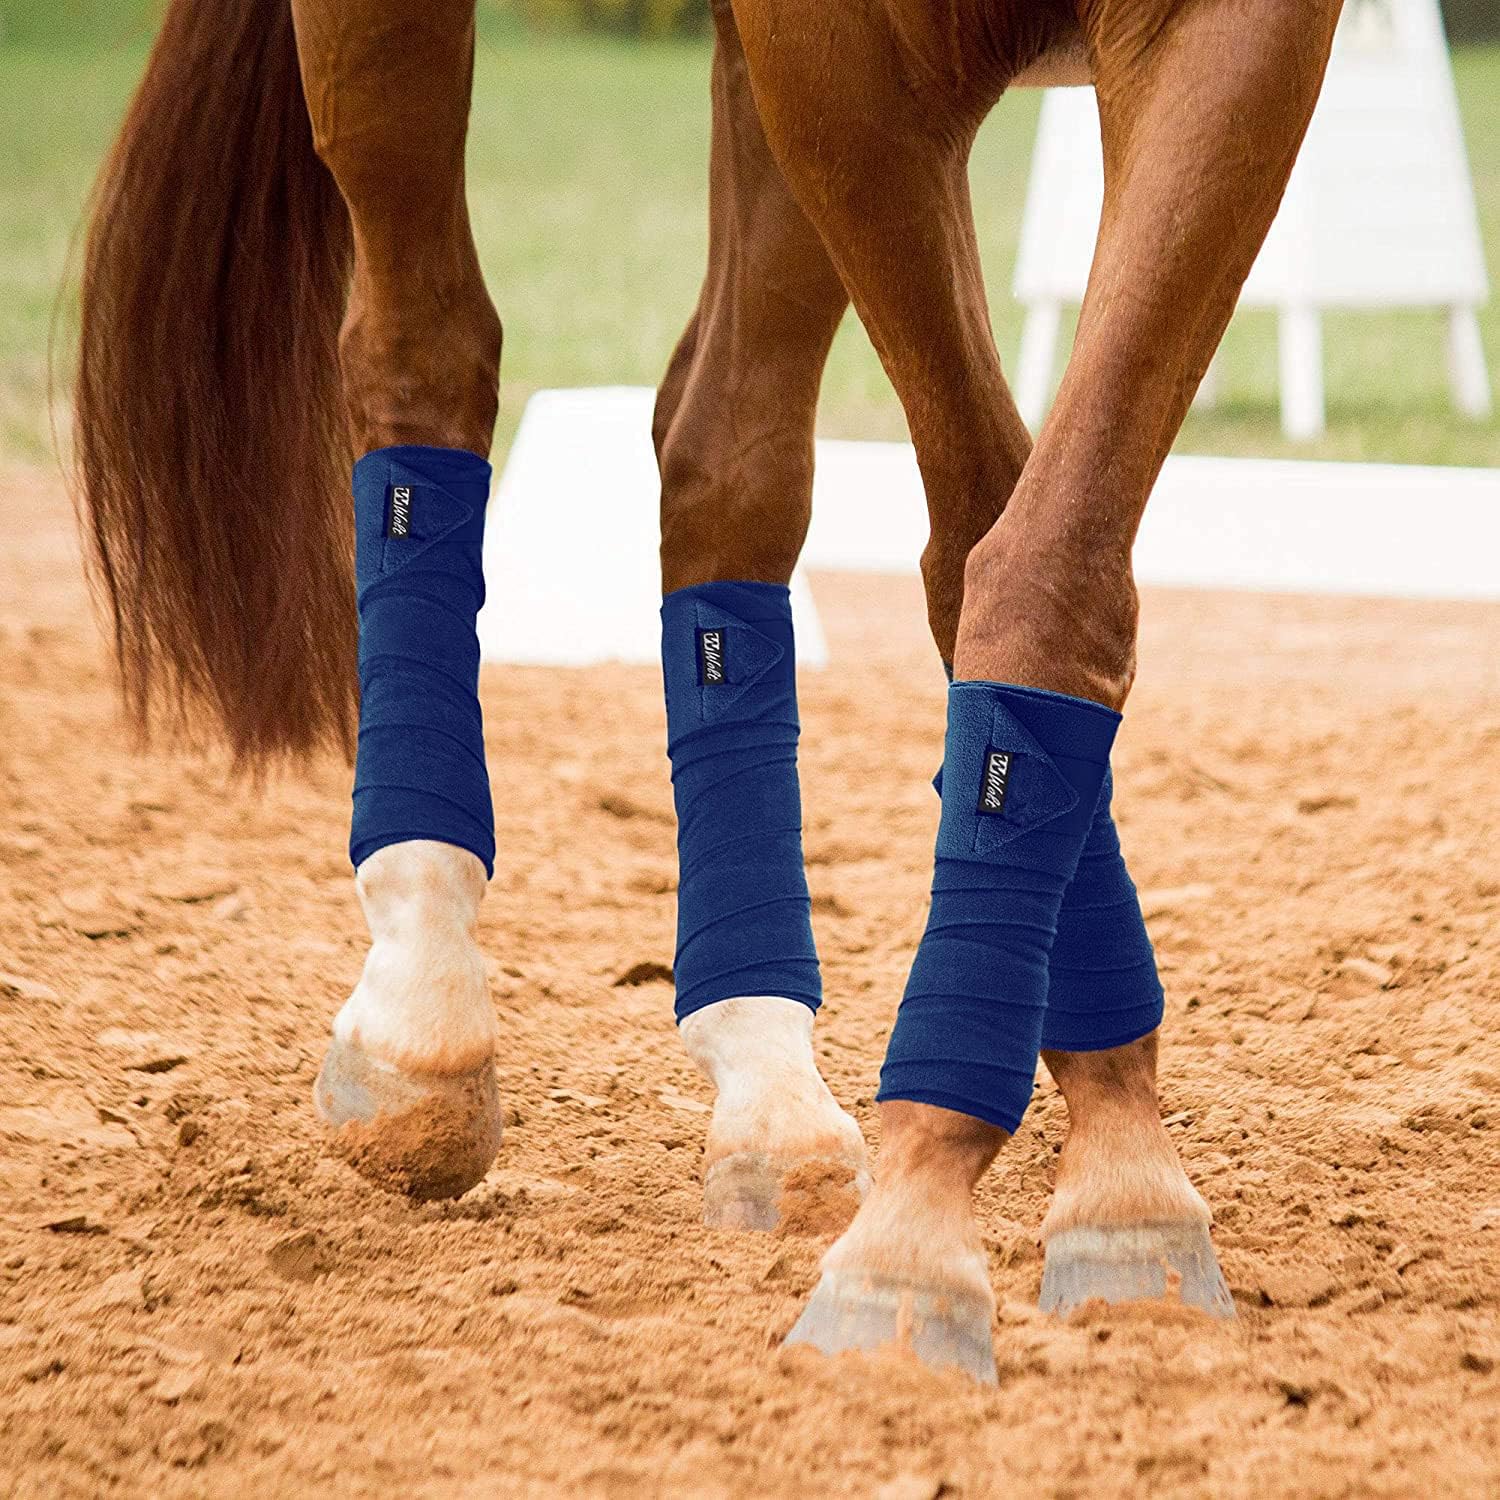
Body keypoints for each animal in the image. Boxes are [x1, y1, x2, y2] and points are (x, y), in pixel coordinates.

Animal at [74, 0, 1341, 1381]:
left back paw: (764, 1077)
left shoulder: (1233, 39)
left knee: (722, 453)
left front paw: (1118, 1171)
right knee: (420, 350)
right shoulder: (855, 71)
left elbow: (1050, 562)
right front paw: (923, 1236)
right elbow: (981, 536)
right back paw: (421, 994)